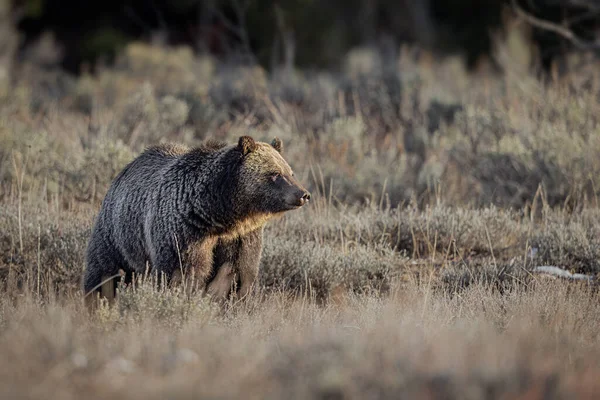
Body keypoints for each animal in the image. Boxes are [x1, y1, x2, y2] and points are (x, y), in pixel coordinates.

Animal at [81, 136, 310, 302]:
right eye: (275, 173)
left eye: (290, 172)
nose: (303, 194)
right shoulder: (185, 232)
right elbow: (184, 272)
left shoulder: (242, 238)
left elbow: (239, 273)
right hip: (117, 235)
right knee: (103, 270)